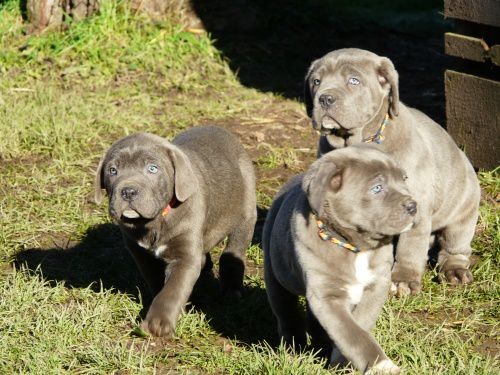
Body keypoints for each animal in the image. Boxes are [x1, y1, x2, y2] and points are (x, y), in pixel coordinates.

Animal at [95, 126, 256, 338]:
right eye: (113, 170)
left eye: (152, 169)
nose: (128, 191)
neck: (154, 221)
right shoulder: (140, 253)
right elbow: (156, 281)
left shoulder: (185, 255)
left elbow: (173, 289)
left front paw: (158, 322)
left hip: (246, 211)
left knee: (234, 251)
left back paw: (231, 291)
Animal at [264, 144, 416, 374]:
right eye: (377, 188)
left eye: (405, 179)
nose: (413, 206)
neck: (356, 248)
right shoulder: (326, 295)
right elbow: (353, 332)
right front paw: (382, 366)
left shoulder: (376, 286)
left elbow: (358, 326)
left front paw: (340, 361)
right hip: (275, 272)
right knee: (285, 310)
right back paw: (293, 347)